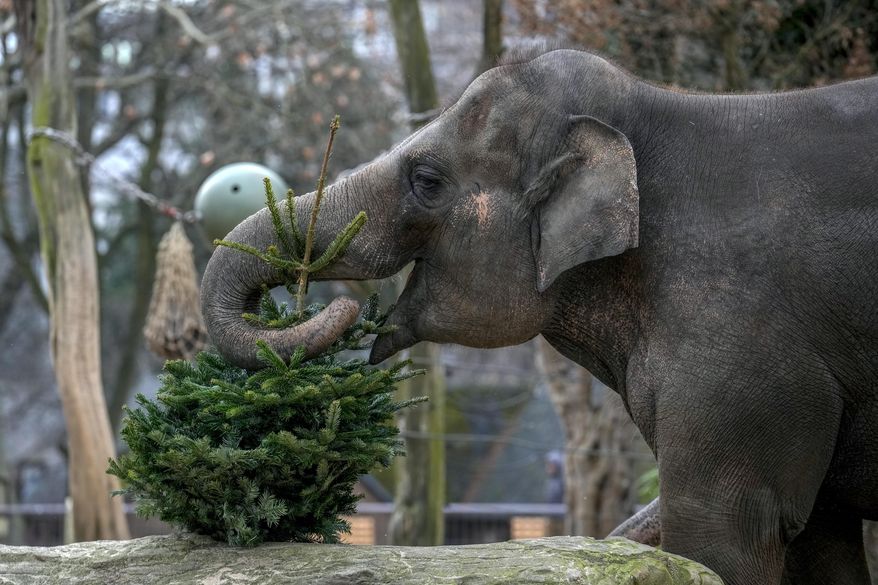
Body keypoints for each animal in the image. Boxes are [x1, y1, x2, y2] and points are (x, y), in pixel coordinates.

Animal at [201, 49, 878, 584]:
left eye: (426, 179)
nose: (342, 306)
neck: (659, 107)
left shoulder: (741, 342)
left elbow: (723, 528)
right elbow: (819, 536)